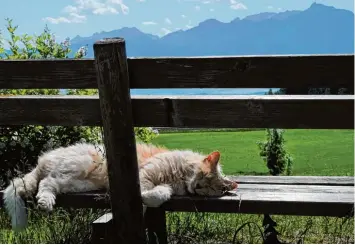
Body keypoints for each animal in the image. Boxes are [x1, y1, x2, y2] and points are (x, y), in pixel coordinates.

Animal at [2, 142, 238, 232]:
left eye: (211, 188)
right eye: (204, 176)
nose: (197, 187)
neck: (180, 177)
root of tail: (43, 160)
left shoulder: (164, 186)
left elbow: (159, 195)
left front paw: (146, 201)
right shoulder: (145, 174)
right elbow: (144, 191)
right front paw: (142, 201)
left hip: (78, 183)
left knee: (46, 183)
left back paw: (45, 202)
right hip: (81, 166)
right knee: (45, 181)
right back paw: (45, 202)